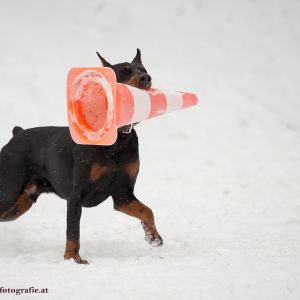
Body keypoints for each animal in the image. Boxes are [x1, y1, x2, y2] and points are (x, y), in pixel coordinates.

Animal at [0, 49, 162, 264]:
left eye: (144, 69)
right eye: (124, 71)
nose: (146, 78)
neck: (118, 139)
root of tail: (17, 134)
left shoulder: (123, 194)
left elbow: (147, 210)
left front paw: (153, 236)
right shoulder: (76, 195)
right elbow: (73, 232)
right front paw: (73, 259)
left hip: (20, 204)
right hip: (9, 191)